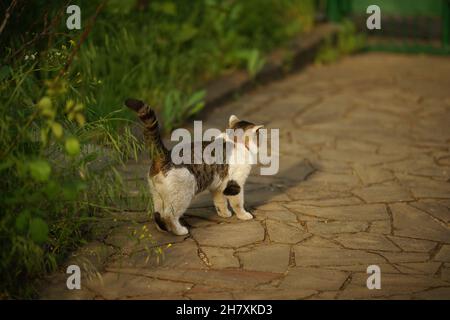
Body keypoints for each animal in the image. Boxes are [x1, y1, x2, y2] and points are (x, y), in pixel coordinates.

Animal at [124, 97, 264, 235]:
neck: (233, 141)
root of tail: (164, 155)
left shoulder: (217, 186)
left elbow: (220, 202)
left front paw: (224, 214)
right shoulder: (235, 184)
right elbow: (238, 203)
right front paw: (244, 215)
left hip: (157, 195)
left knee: (158, 214)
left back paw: (164, 229)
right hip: (181, 196)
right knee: (169, 215)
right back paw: (180, 231)